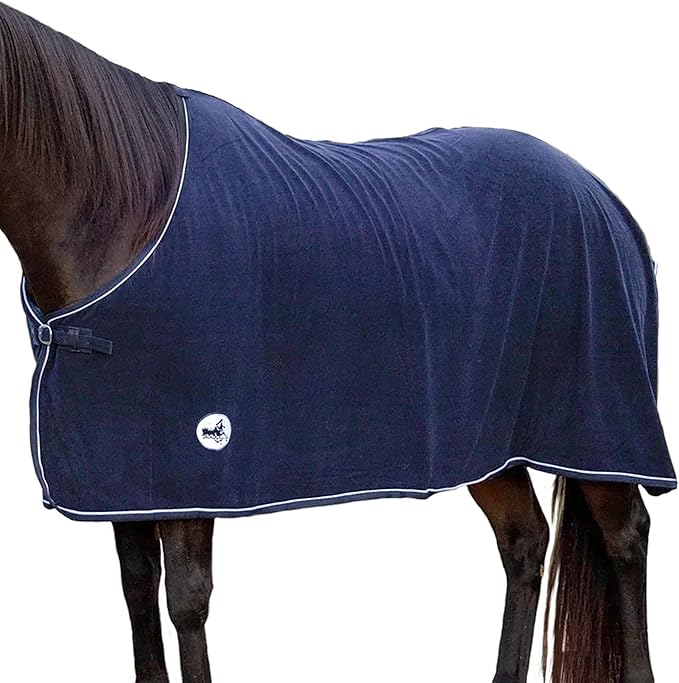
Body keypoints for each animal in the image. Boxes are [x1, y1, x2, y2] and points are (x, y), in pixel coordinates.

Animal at [0, 4, 674, 682]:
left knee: (626, 537)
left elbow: (187, 600)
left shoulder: (197, 462)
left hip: (598, 426)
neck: (129, 211)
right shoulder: (123, 475)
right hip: (489, 445)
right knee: (525, 542)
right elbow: (137, 588)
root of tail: (600, 194)